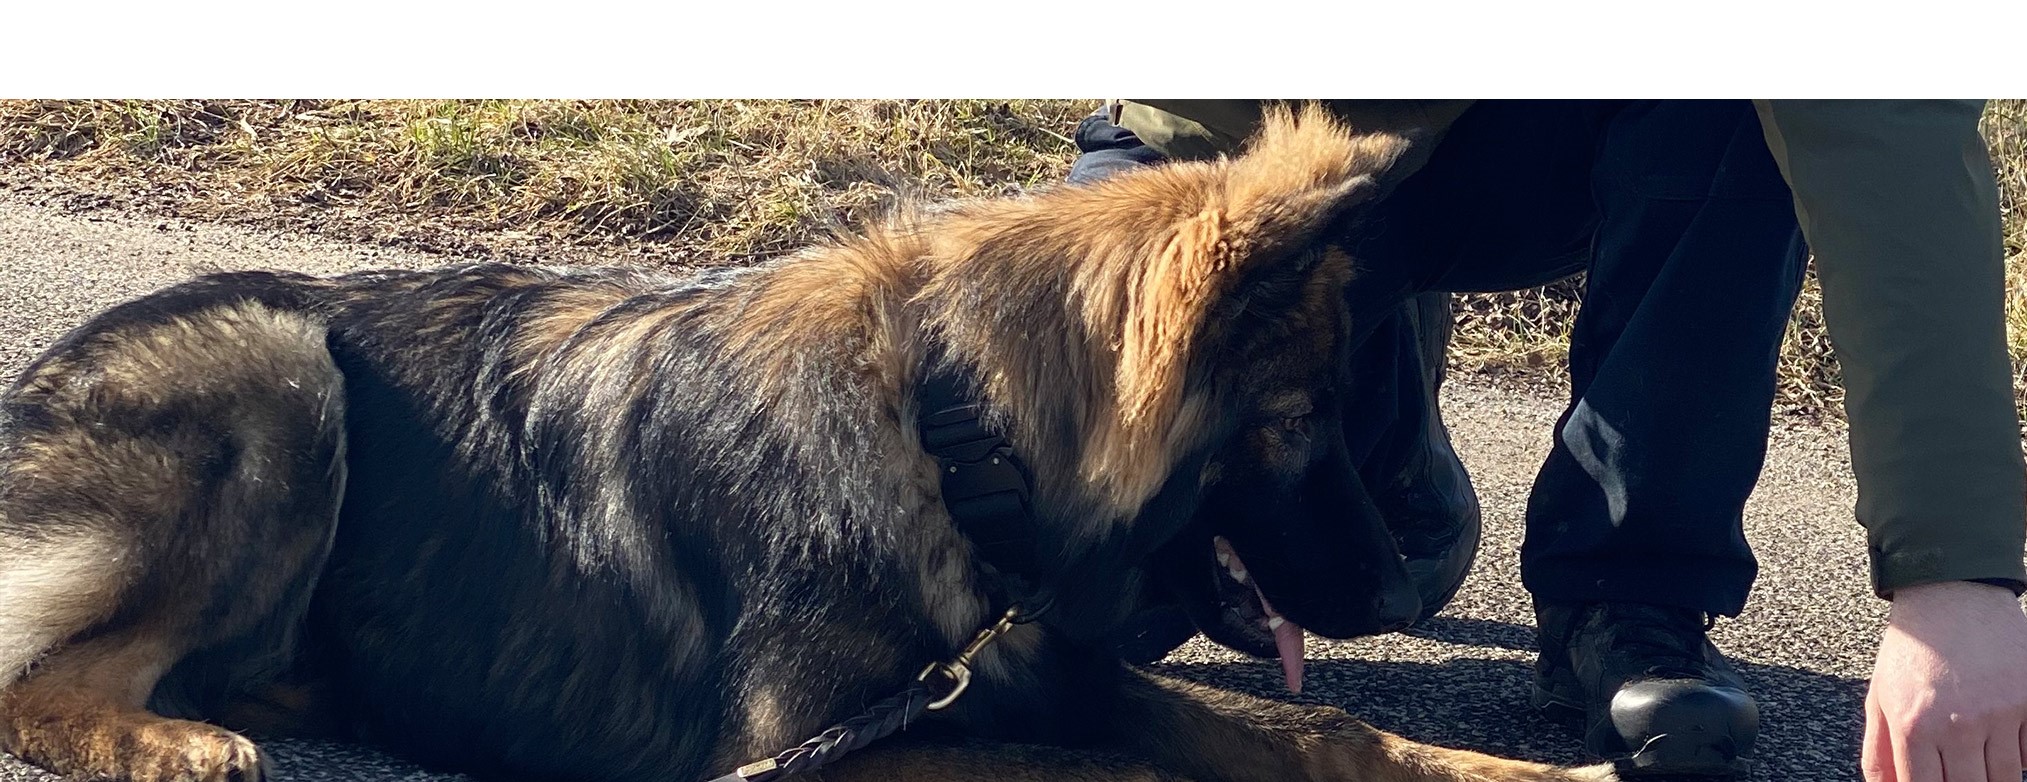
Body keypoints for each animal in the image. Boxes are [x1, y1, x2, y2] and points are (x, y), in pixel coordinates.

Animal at [0, 108, 1613, 782]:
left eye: (1346, 414)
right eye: (1292, 426)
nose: (1401, 584)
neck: (952, 435)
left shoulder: (1046, 666)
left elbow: (1317, 728)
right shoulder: (811, 746)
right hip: (276, 366)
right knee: (39, 676)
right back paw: (167, 739)